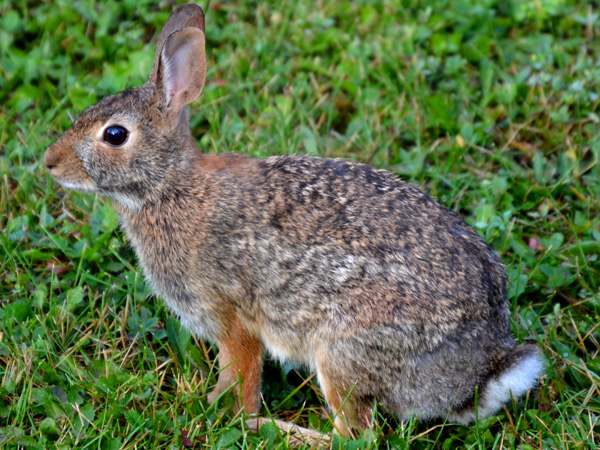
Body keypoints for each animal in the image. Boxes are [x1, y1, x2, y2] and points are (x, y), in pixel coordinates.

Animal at [45, 2, 544, 436]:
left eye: (114, 134)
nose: (50, 163)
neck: (170, 187)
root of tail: (478, 372)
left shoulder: (232, 319)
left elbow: (241, 378)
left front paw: (229, 417)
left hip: (342, 350)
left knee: (355, 434)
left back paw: (288, 431)